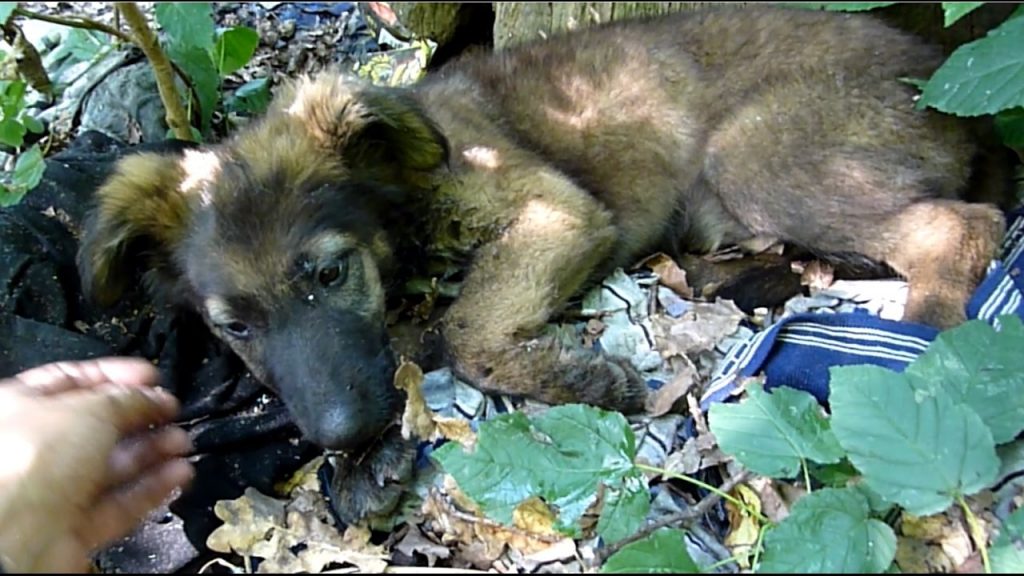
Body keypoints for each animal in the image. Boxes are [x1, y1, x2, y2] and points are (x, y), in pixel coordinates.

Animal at [75, 3, 1011, 516]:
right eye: (235, 328)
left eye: (330, 274)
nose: (338, 434)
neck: (401, 194)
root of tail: (928, 68)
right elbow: (406, 347)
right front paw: (363, 462)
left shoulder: (557, 210)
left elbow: (464, 332)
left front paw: (579, 380)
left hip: (758, 155)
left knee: (963, 225)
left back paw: (924, 357)